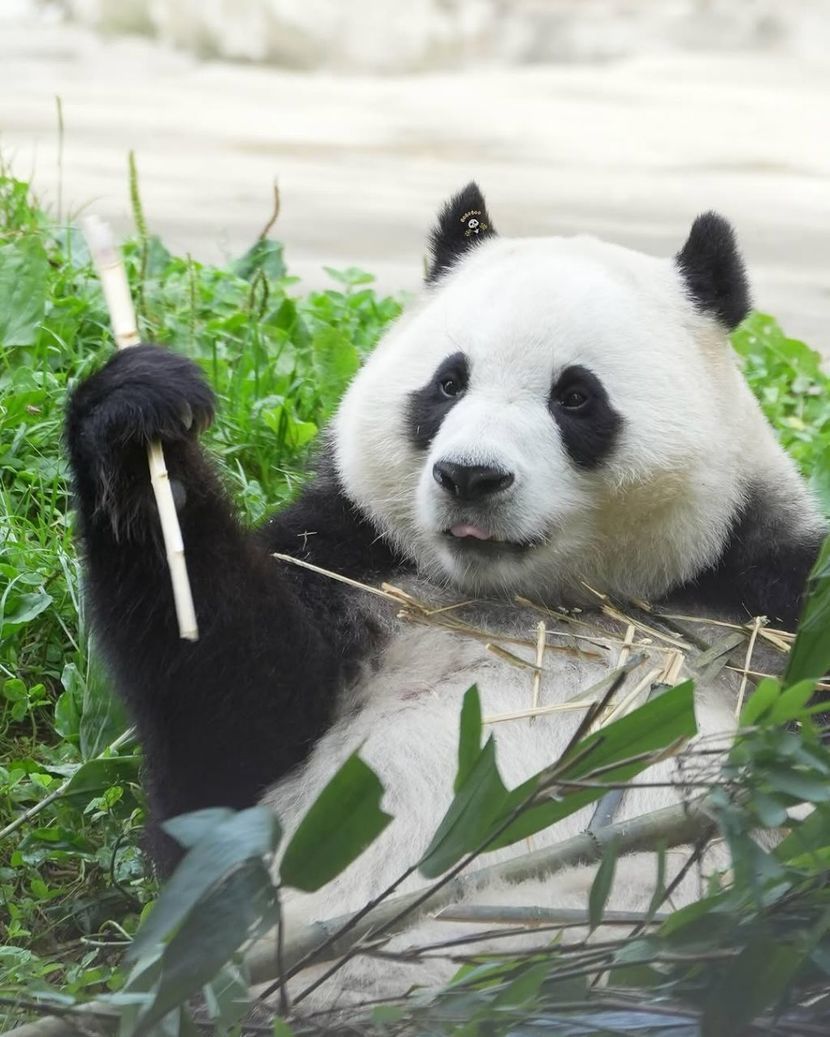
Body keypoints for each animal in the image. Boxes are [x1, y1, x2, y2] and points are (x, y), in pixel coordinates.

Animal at [66, 183, 825, 1006]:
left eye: (576, 397)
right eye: (449, 382)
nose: (471, 475)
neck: (544, 601)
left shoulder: (764, 599)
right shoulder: (357, 568)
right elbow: (227, 735)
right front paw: (141, 422)